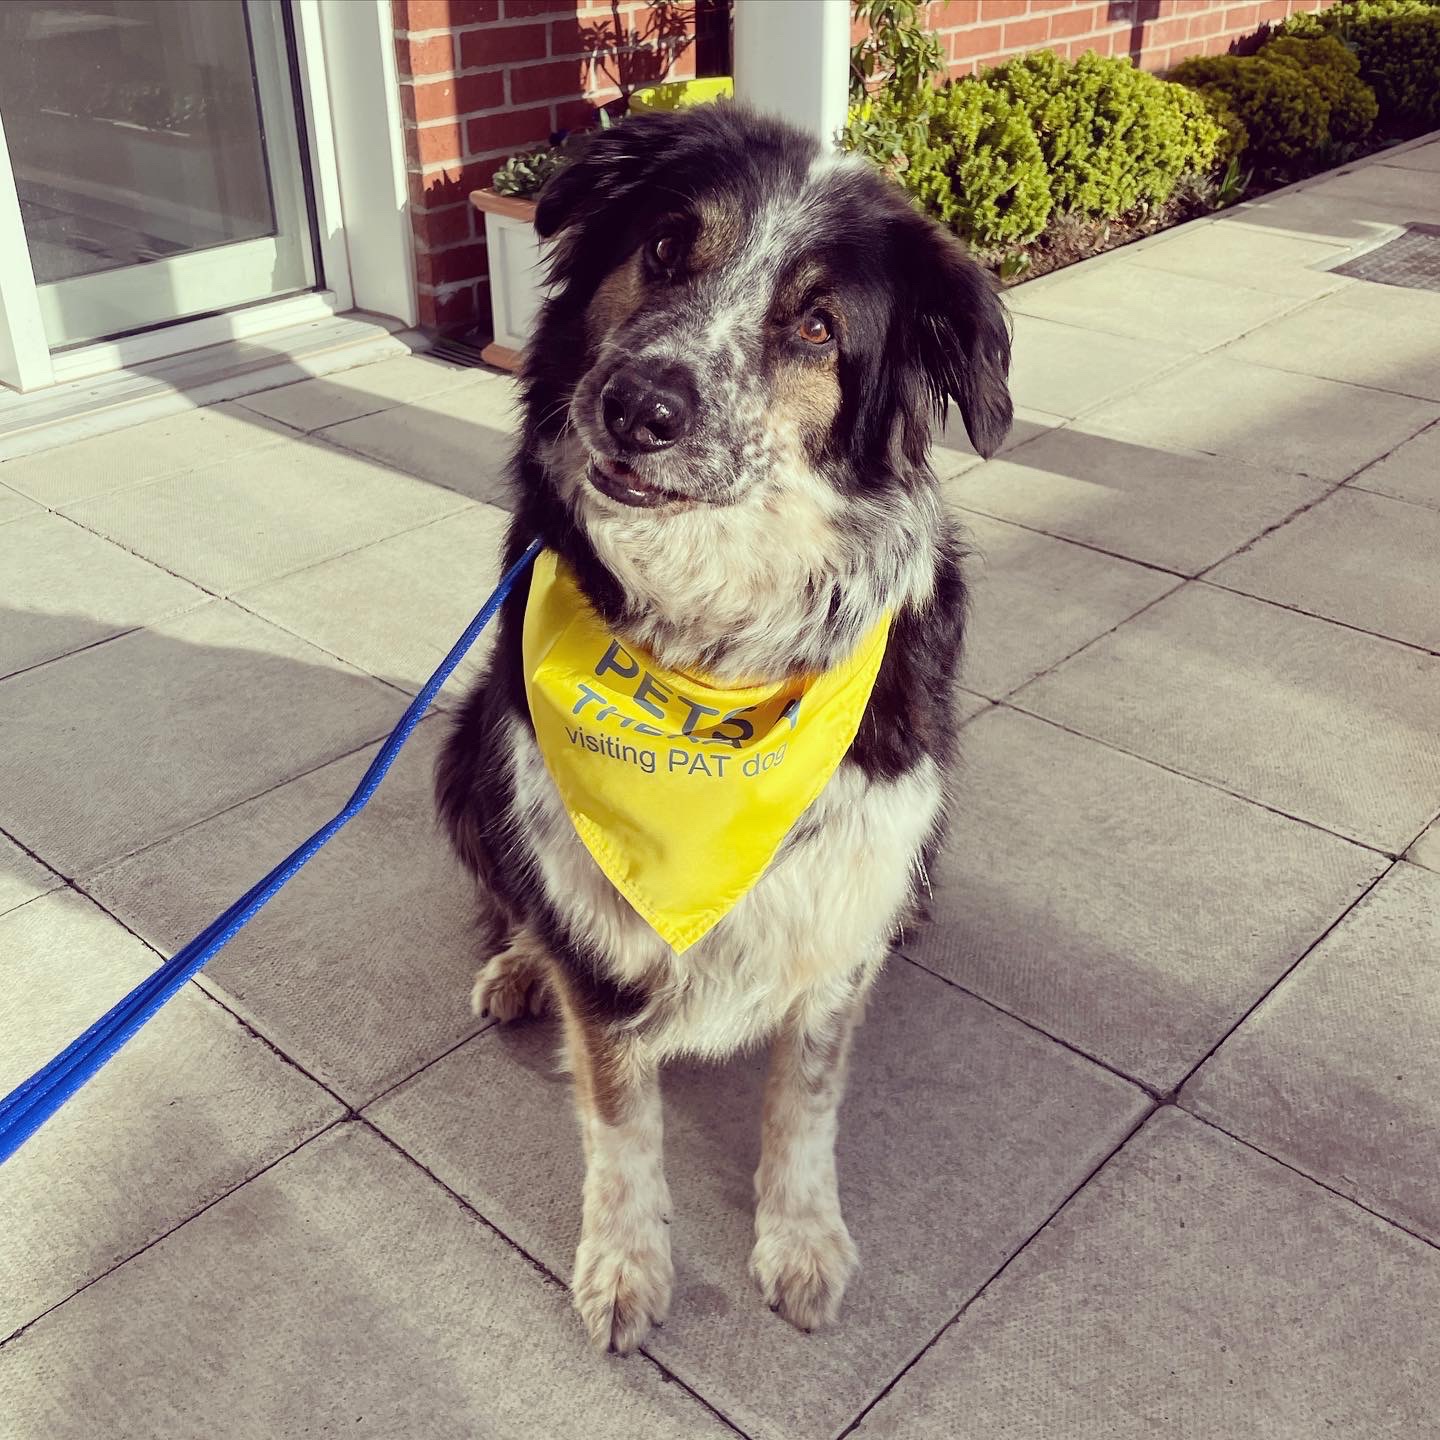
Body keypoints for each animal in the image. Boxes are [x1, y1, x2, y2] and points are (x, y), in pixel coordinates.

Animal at [436, 103, 1012, 1354]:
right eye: (663, 248)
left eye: (816, 326)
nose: (641, 405)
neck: (706, 667)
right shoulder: (594, 928)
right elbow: (619, 1119)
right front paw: (623, 1265)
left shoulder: (845, 893)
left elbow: (804, 1102)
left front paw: (800, 1243)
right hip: (462, 751)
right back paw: (515, 966)